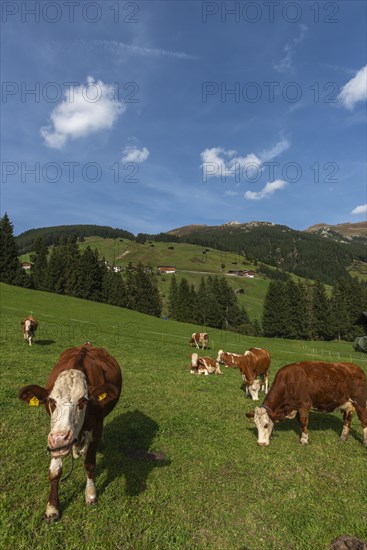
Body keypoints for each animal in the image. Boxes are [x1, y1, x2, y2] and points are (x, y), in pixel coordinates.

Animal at [19, 342, 122, 524]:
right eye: (52, 401)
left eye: (82, 401)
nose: (61, 438)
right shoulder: (54, 435)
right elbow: (55, 471)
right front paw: (52, 508)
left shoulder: (97, 429)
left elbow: (89, 464)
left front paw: (90, 494)